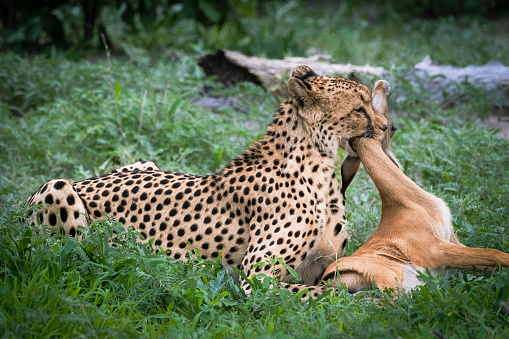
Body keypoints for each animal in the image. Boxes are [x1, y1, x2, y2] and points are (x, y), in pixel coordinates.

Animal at [26, 65, 384, 298]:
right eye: (359, 109)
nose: (386, 127)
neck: (319, 166)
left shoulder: (323, 266)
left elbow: (332, 284)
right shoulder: (256, 278)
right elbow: (325, 295)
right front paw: (371, 303)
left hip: (145, 163)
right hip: (58, 188)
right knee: (74, 256)